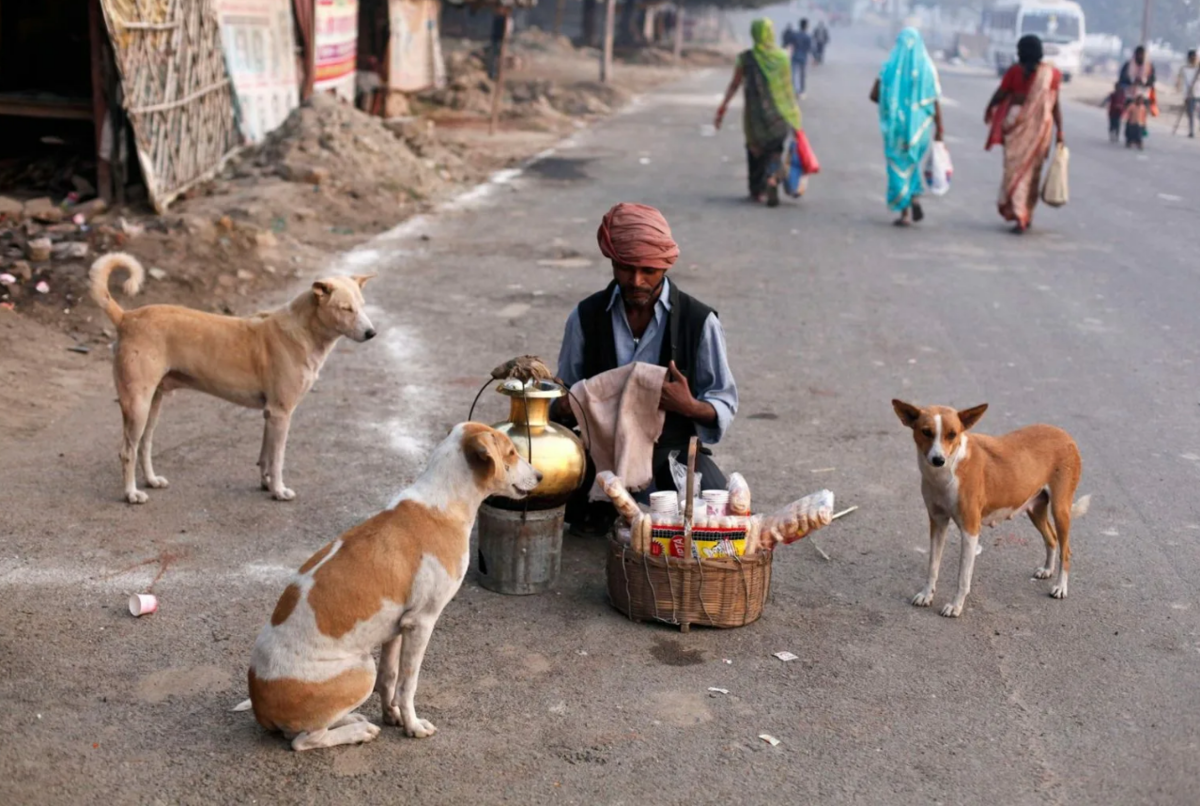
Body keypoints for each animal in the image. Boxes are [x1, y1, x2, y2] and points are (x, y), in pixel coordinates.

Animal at [88, 251, 374, 503]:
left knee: (144, 445)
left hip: (153, 403)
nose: (372, 333)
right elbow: (278, 458)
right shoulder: (281, 413)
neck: (303, 330)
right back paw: (131, 494)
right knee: (127, 451)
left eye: (362, 306)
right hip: (137, 404)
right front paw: (279, 490)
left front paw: (266, 484)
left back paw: (151, 480)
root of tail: (127, 317)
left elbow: (265, 456)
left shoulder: (270, 414)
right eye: (345, 308)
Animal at [238, 424, 540, 753]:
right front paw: (413, 726)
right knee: (303, 739)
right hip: (361, 669)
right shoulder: (421, 622)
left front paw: (392, 715)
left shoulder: (397, 628)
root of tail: (259, 705)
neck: (443, 503)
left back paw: (354, 719)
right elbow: (408, 685)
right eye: (511, 452)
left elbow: (390, 677)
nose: (540, 476)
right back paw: (358, 731)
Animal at [892, 400, 1089, 618]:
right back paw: (1047, 570)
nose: (938, 460)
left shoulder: (970, 530)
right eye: (926, 432)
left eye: (952, 434)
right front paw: (927, 594)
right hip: (1035, 509)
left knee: (1066, 550)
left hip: (1060, 509)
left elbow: (963, 577)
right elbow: (932, 566)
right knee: (1051, 538)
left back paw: (1061, 587)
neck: (946, 472)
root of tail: (1064, 434)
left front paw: (956, 606)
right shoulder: (938, 522)